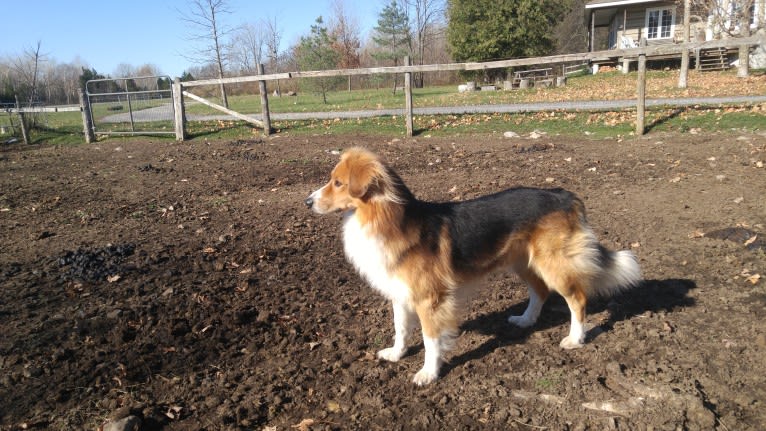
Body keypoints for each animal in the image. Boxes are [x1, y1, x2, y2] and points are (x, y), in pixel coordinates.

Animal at [306, 148, 640, 384]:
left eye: (338, 183)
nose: (307, 202)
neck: (384, 217)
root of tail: (563, 195)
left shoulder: (430, 300)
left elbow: (430, 339)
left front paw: (428, 373)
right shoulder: (400, 293)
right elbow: (400, 329)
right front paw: (397, 354)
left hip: (552, 263)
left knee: (577, 299)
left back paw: (575, 339)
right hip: (524, 262)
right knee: (540, 292)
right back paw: (526, 320)